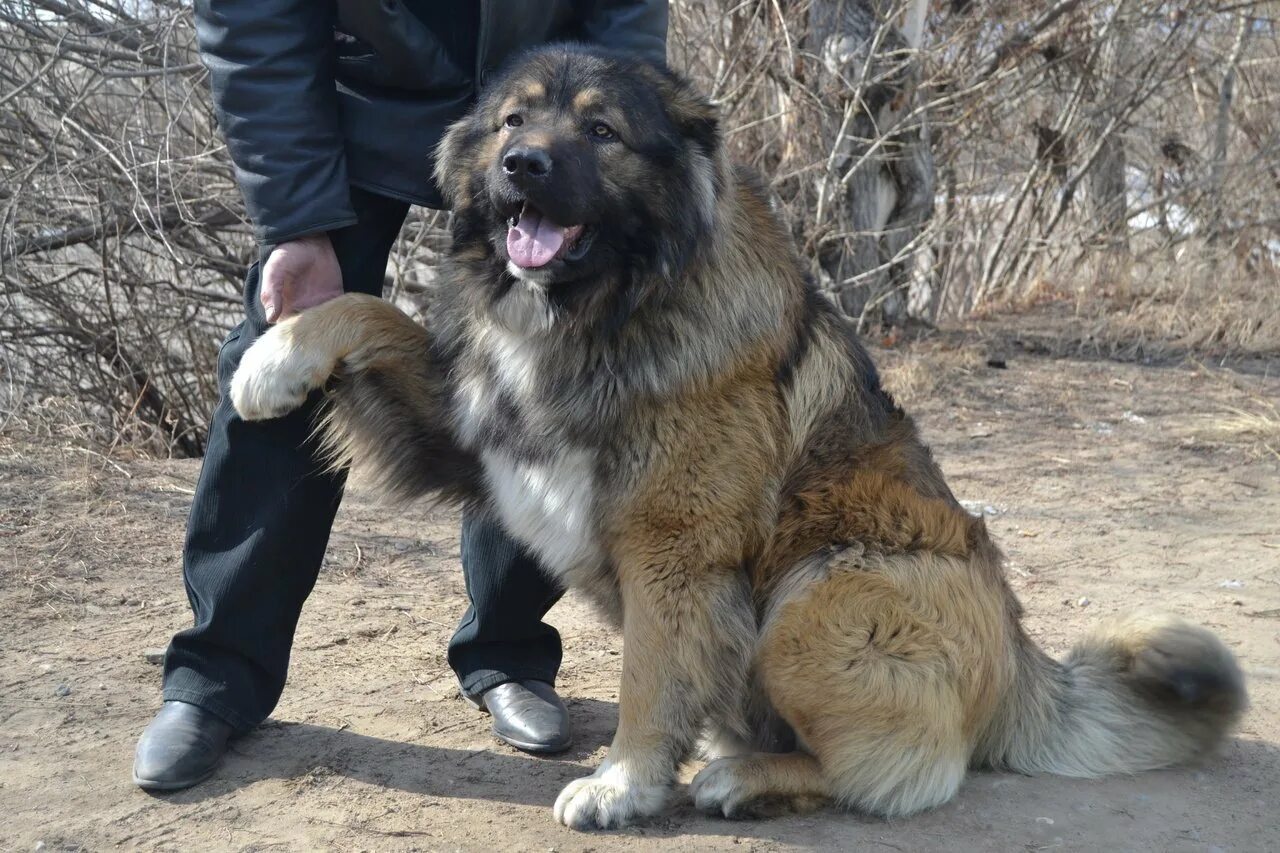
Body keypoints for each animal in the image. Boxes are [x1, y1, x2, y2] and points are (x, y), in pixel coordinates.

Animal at [230, 46, 1239, 829]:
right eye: (514, 119)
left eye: (602, 133)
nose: (521, 163)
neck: (604, 312)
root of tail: (1025, 661)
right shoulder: (472, 431)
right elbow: (367, 310)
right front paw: (276, 356)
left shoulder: (674, 550)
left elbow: (646, 677)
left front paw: (622, 783)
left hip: (820, 602)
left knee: (898, 771)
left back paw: (746, 776)